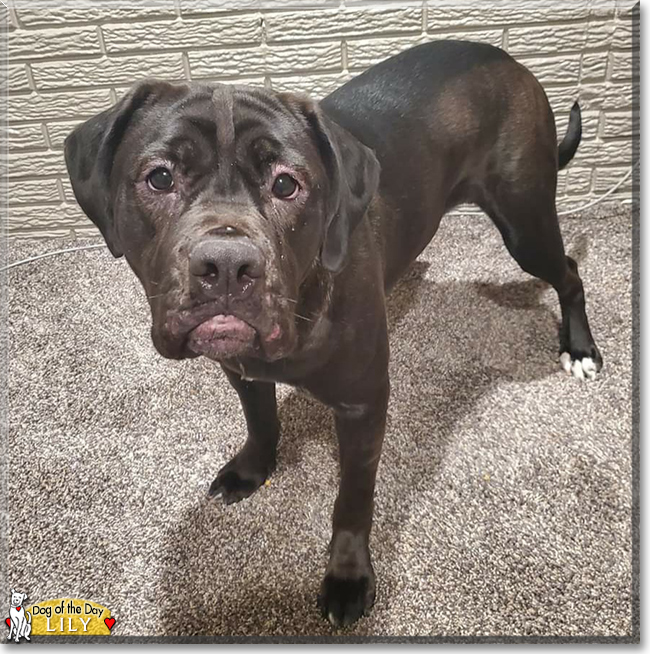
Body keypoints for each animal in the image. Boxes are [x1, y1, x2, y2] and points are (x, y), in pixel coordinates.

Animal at [63, 38, 600, 628]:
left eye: (286, 184)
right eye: (159, 178)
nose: (226, 264)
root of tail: (509, 59)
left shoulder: (364, 407)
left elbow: (353, 499)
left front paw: (347, 576)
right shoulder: (241, 367)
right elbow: (260, 419)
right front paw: (252, 469)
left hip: (524, 221)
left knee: (570, 271)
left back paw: (580, 349)